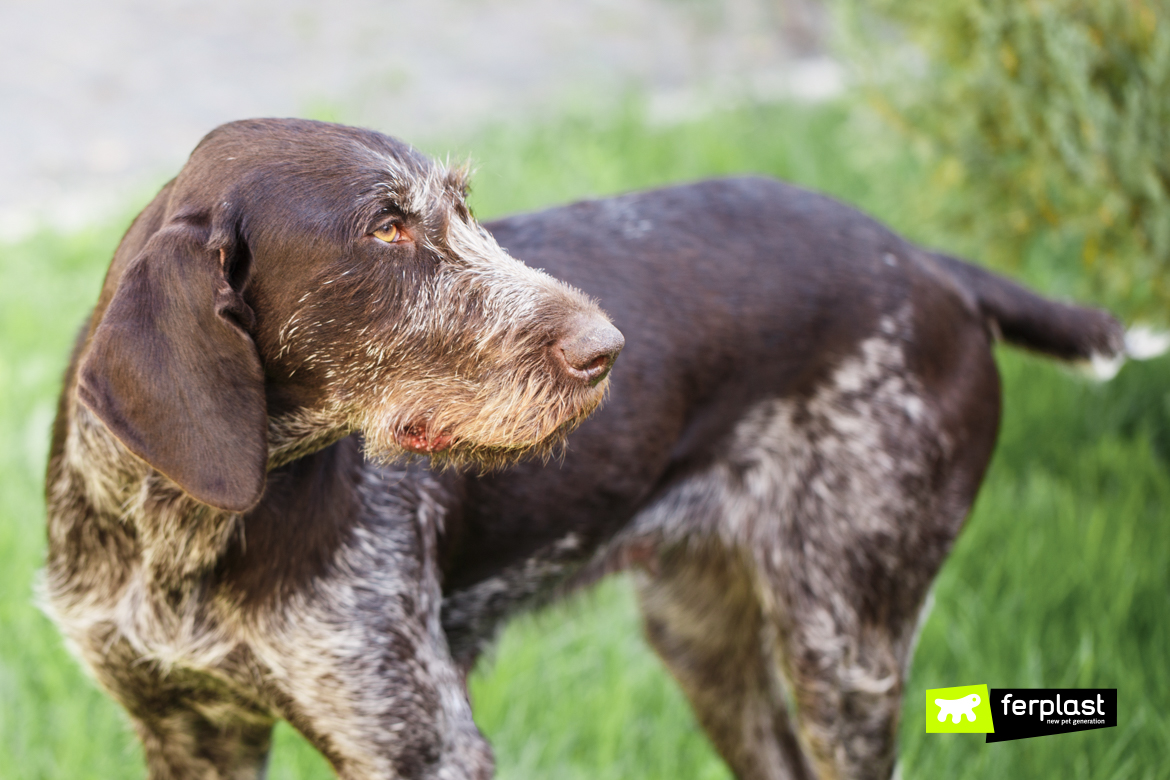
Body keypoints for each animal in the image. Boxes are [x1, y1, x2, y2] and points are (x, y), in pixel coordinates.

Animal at [45, 117, 1141, 780]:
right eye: (386, 232)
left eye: (465, 211)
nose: (608, 350)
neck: (173, 535)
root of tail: (925, 261)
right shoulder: (187, 730)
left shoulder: (418, 740)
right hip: (702, 629)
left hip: (845, 644)